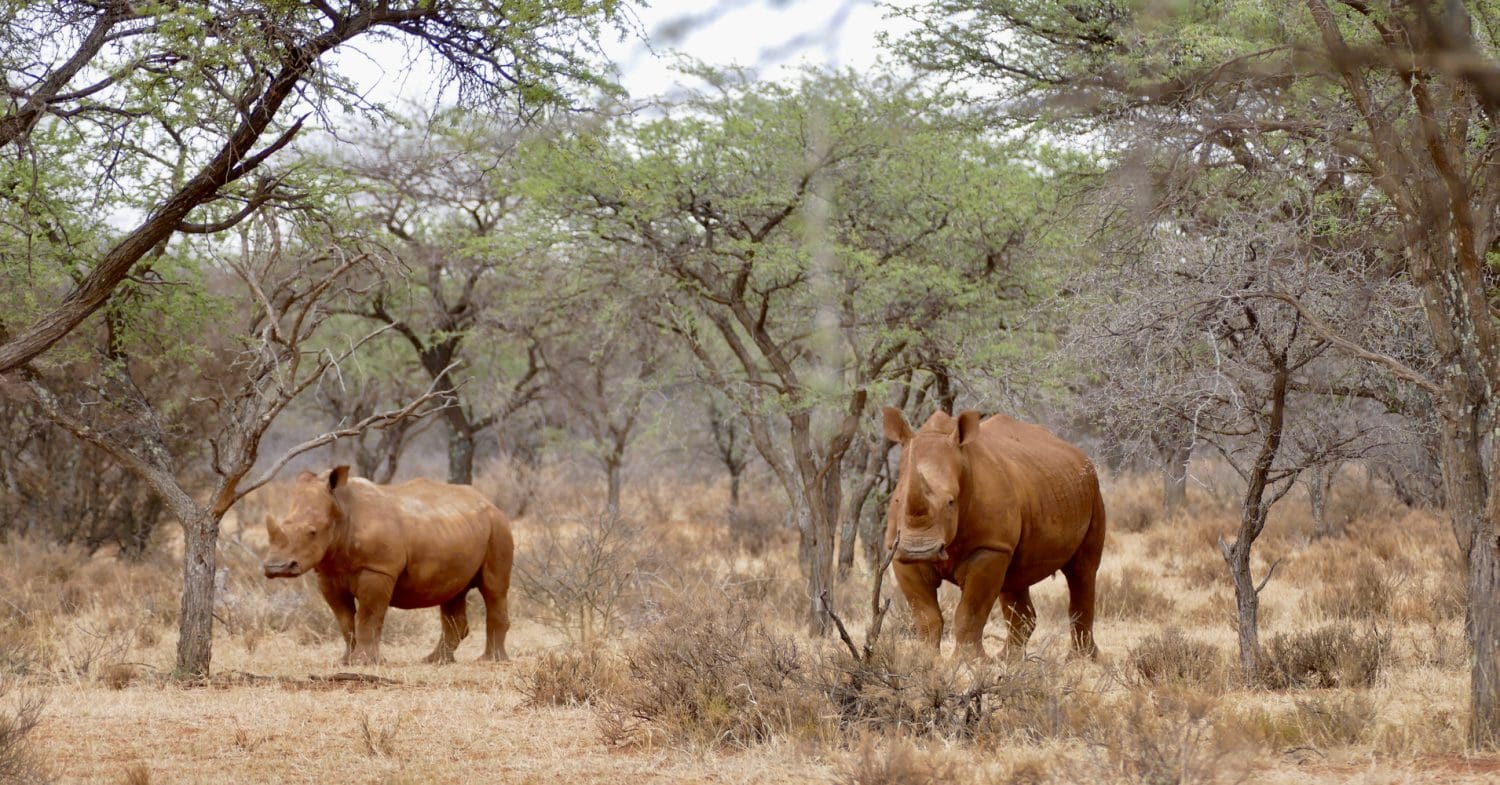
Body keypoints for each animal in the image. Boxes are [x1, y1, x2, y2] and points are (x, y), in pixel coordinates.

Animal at [262, 467, 513, 665]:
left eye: (312, 532)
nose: (275, 568)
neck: (341, 508)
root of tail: (489, 502)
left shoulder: (378, 569)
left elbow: (369, 617)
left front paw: (364, 663)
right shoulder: (328, 573)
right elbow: (344, 620)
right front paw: (345, 661)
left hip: (499, 527)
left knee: (494, 589)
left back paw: (490, 661)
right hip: (458, 529)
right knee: (453, 592)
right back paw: (435, 660)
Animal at [882, 409, 1106, 659]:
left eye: (951, 502)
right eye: (896, 500)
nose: (919, 551)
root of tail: (1078, 454)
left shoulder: (990, 547)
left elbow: (970, 613)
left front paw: (969, 662)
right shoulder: (898, 550)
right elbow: (925, 614)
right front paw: (923, 659)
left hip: (1093, 490)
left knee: (1082, 570)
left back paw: (1081, 659)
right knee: (1015, 579)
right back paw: (1008, 660)